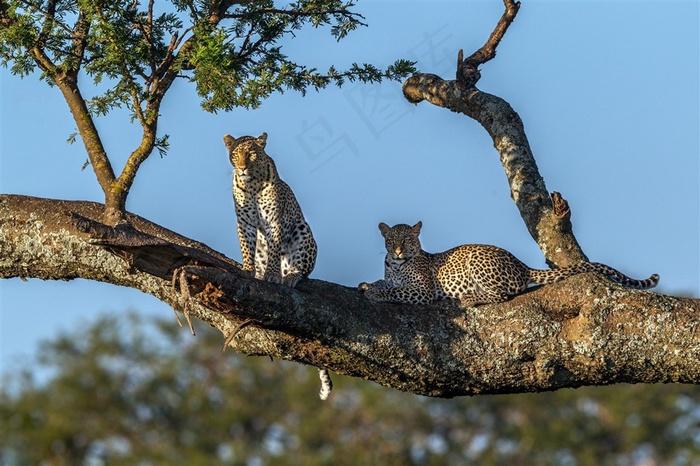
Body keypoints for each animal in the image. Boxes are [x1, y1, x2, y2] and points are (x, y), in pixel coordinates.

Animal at [226, 132, 332, 400]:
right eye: (236, 154)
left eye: (252, 154)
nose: (242, 168)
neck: (251, 185)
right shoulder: (244, 222)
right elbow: (246, 245)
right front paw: (247, 269)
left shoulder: (274, 221)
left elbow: (275, 250)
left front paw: (272, 276)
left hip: (302, 230)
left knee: (301, 269)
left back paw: (290, 275)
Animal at [358, 221, 660, 308]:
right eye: (391, 240)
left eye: (409, 239)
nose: (399, 251)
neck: (396, 265)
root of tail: (520, 264)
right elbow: (384, 282)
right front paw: (366, 284)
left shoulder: (422, 291)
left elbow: (396, 291)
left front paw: (375, 293)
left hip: (478, 261)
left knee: (501, 294)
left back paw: (469, 298)